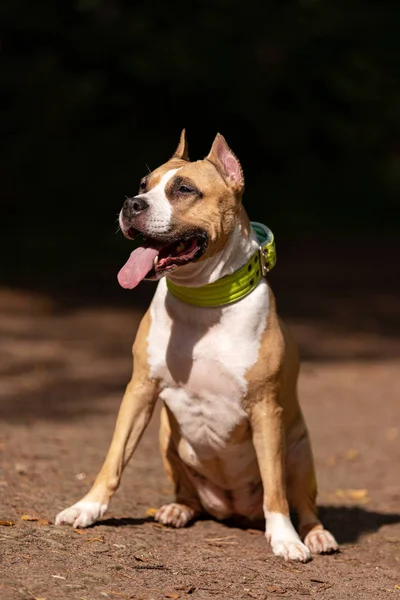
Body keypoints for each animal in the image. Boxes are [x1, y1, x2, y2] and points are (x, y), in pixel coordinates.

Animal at [55, 131, 338, 564]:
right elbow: (114, 458)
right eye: (143, 185)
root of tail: (235, 509)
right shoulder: (139, 390)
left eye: (184, 190)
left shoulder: (265, 407)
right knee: (188, 492)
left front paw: (285, 539)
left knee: (301, 501)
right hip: (166, 439)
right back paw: (178, 509)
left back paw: (315, 534)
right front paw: (87, 507)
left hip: (299, 451)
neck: (203, 301)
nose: (131, 204)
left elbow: (275, 486)